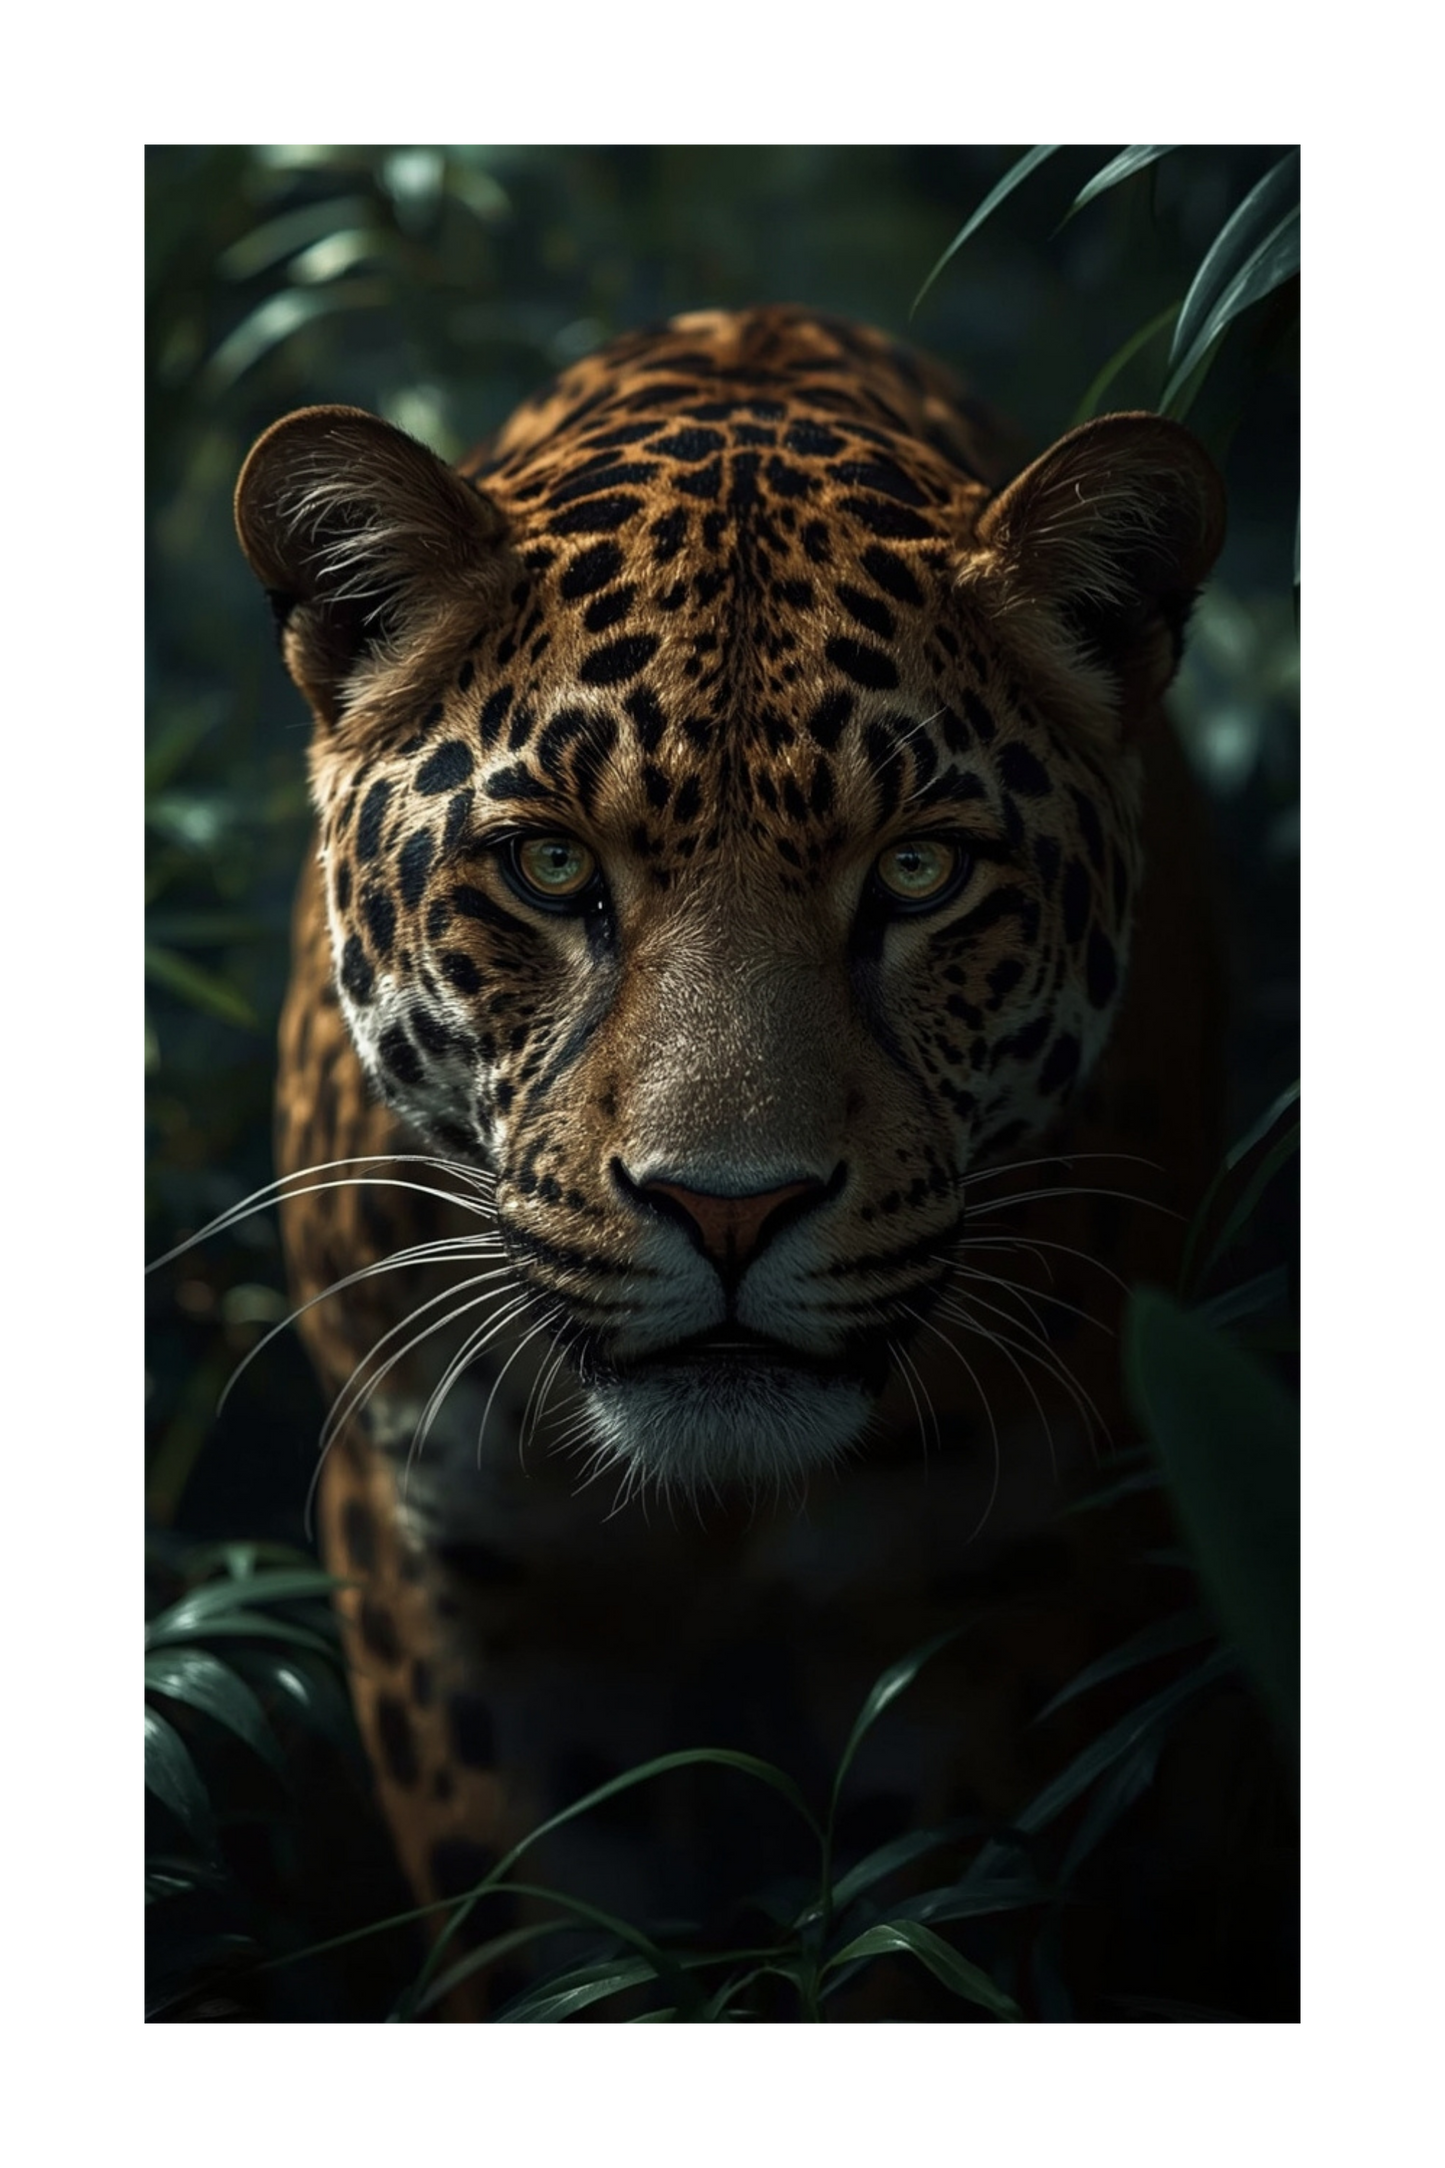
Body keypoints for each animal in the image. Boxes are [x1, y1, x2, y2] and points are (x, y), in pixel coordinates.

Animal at [235, 306, 1232, 2020]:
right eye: (549, 865)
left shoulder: (993, 1586)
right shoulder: (450, 1579)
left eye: (921, 872)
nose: (729, 1206)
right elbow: (540, 1935)